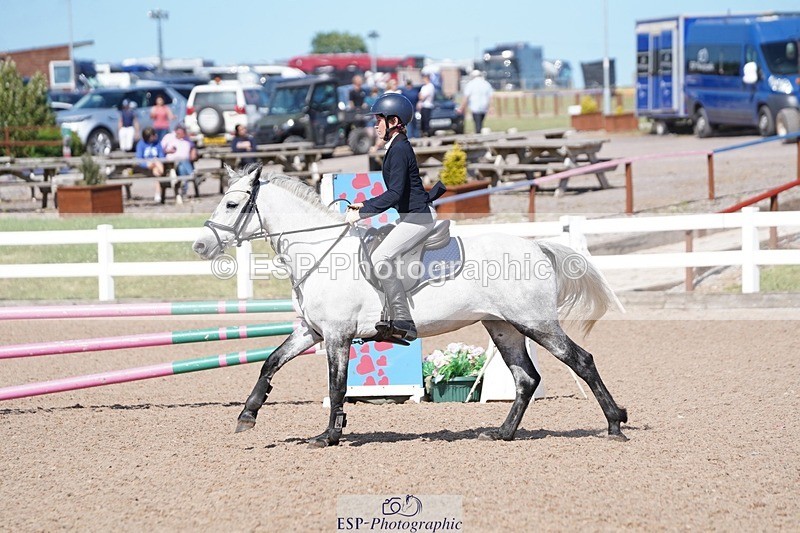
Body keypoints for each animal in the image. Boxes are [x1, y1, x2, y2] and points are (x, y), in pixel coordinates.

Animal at [192, 166, 628, 447]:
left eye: (231, 205)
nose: (200, 245)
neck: (319, 251)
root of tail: (537, 247)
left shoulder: (336, 336)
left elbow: (336, 386)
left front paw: (329, 435)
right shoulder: (311, 332)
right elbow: (270, 363)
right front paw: (247, 416)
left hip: (535, 322)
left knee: (581, 361)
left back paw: (615, 424)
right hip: (502, 327)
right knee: (526, 379)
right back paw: (502, 433)